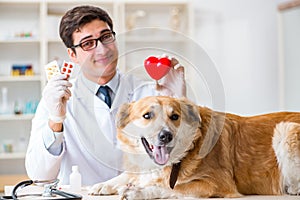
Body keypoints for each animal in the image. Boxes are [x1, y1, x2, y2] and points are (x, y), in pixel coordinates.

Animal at [89, 96, 300, 199]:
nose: (166, 136)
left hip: (285, 130)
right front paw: (102, 185)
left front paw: (139, 191)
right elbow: (129, 175)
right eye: (147, 115)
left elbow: (172, 188)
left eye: (175, 116)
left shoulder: (216, 183)